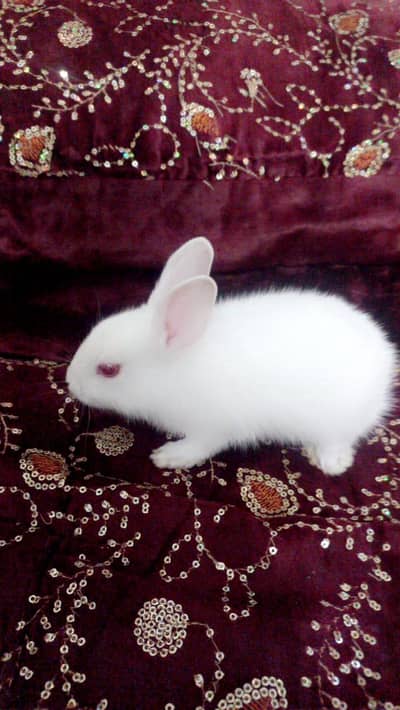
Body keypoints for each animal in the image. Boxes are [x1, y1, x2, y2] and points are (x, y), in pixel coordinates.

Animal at [66, 237, 398, 475]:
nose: (70, 383)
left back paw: (329, 462)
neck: (175, 369)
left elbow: (199, 447)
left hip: (335, 418)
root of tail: (384, 354)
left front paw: (169, 456)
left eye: (109, 369)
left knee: (340, 438)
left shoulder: (212, 427)